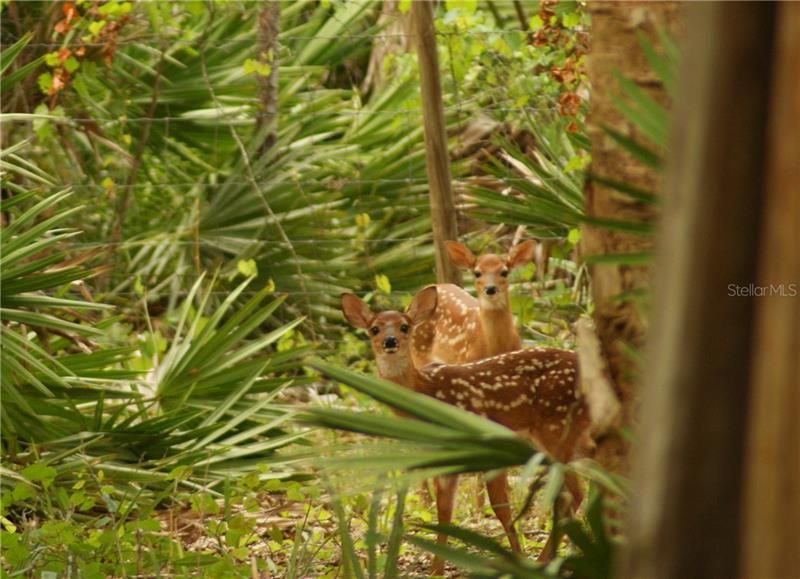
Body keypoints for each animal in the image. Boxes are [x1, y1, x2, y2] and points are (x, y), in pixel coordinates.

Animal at [340, 286, 592, 576]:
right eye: (374, 329)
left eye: (405, 326)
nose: (390, 341)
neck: (427, 391)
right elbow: (444, 515)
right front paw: (436, 572)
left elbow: (500, 508)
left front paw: (517, 561)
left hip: (555, 429)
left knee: (573, 494)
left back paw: (544, 561)